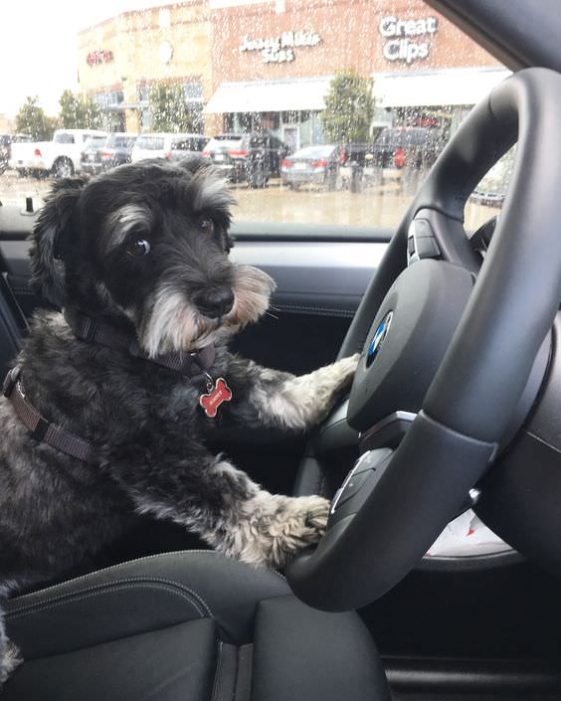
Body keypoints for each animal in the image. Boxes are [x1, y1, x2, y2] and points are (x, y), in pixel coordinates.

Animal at [0, 154, 358, 684]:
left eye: (206, 222)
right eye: (137, 244)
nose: (219, 300)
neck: (121, 344)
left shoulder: (225, 384)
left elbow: (280, 392)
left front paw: (352, 367)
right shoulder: (151, 457)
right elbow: (225, 489)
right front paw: (288, 519)